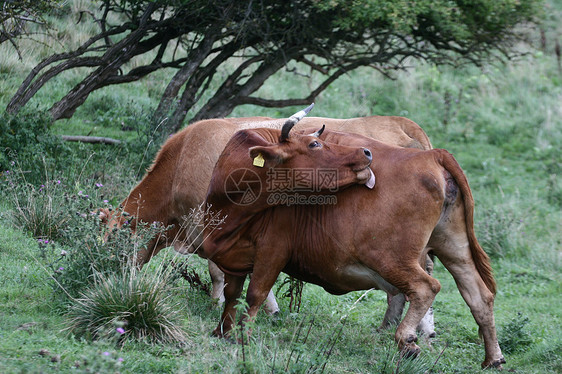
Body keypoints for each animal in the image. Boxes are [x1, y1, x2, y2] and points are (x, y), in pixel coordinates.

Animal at [97, 105, 434, 330]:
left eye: (114, 239)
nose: (100, 272)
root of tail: (402, 122)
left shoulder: (213, 225)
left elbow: (219, 271)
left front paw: (222, 304)